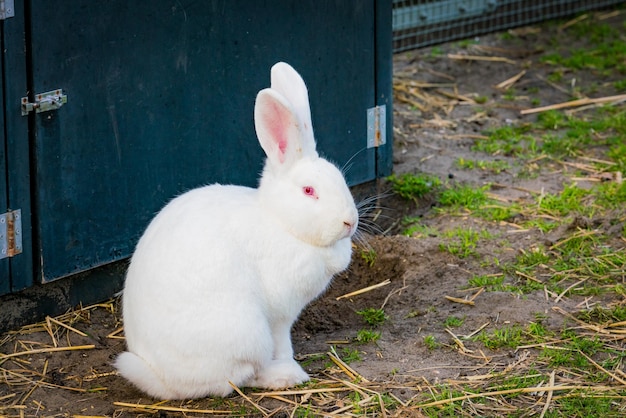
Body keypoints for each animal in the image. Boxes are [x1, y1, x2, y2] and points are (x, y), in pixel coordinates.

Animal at [112, 62, 356, 398]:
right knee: (235, 379)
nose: (350, 222)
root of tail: (163, 379)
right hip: (247, 333)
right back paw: (285, 376)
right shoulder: (280, 315)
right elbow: (282, 341)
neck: (281, 221)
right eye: (309, 191)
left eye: (340, 179)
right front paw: (288, 360)